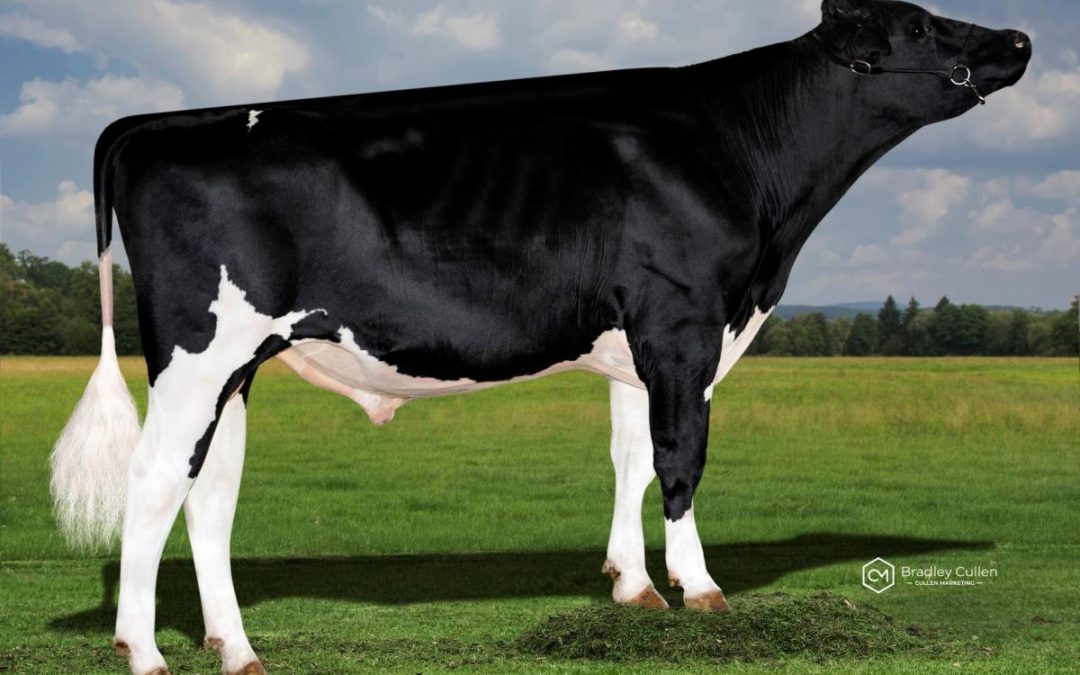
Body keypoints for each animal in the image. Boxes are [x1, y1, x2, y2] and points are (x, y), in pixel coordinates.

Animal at [50, 1, 1030, 673]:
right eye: (920, 25)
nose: (1020, 40)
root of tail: (159, 121)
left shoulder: (636, 349)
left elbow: (630, 459)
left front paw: (633, 585)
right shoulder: (683, 324)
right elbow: (680, 460)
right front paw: (702, 590)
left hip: (238, 366)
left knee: (208, 492)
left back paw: (236, 646)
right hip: (199, 353)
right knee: (153, 476)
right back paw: (145, 650)